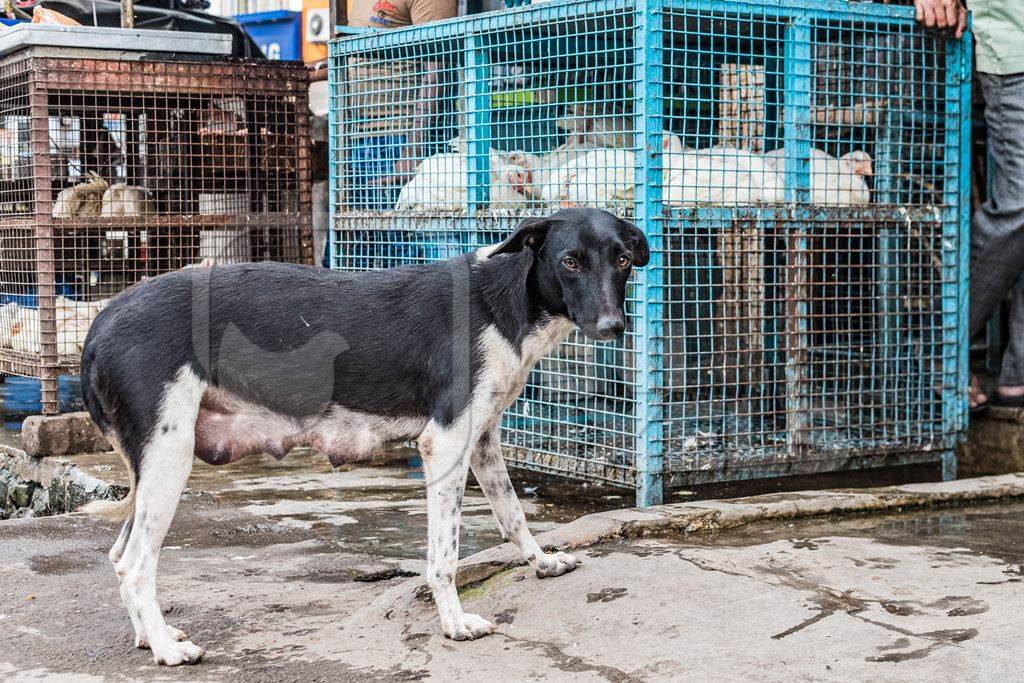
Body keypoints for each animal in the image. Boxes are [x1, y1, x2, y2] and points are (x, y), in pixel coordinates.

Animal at [83, 205, 651, 663]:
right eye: (570, 262)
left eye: (623, 260)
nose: (612, 326)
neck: (502, 303)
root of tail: (101, 322)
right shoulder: (445, 443)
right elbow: (444, 555)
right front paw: (454, 624)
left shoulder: (483, 438)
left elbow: (512, 515)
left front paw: (543, 562)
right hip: (169, 455)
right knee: (134, 564)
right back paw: (165, 649)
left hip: (154, 462)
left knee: (116, 556)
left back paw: (150, 636)